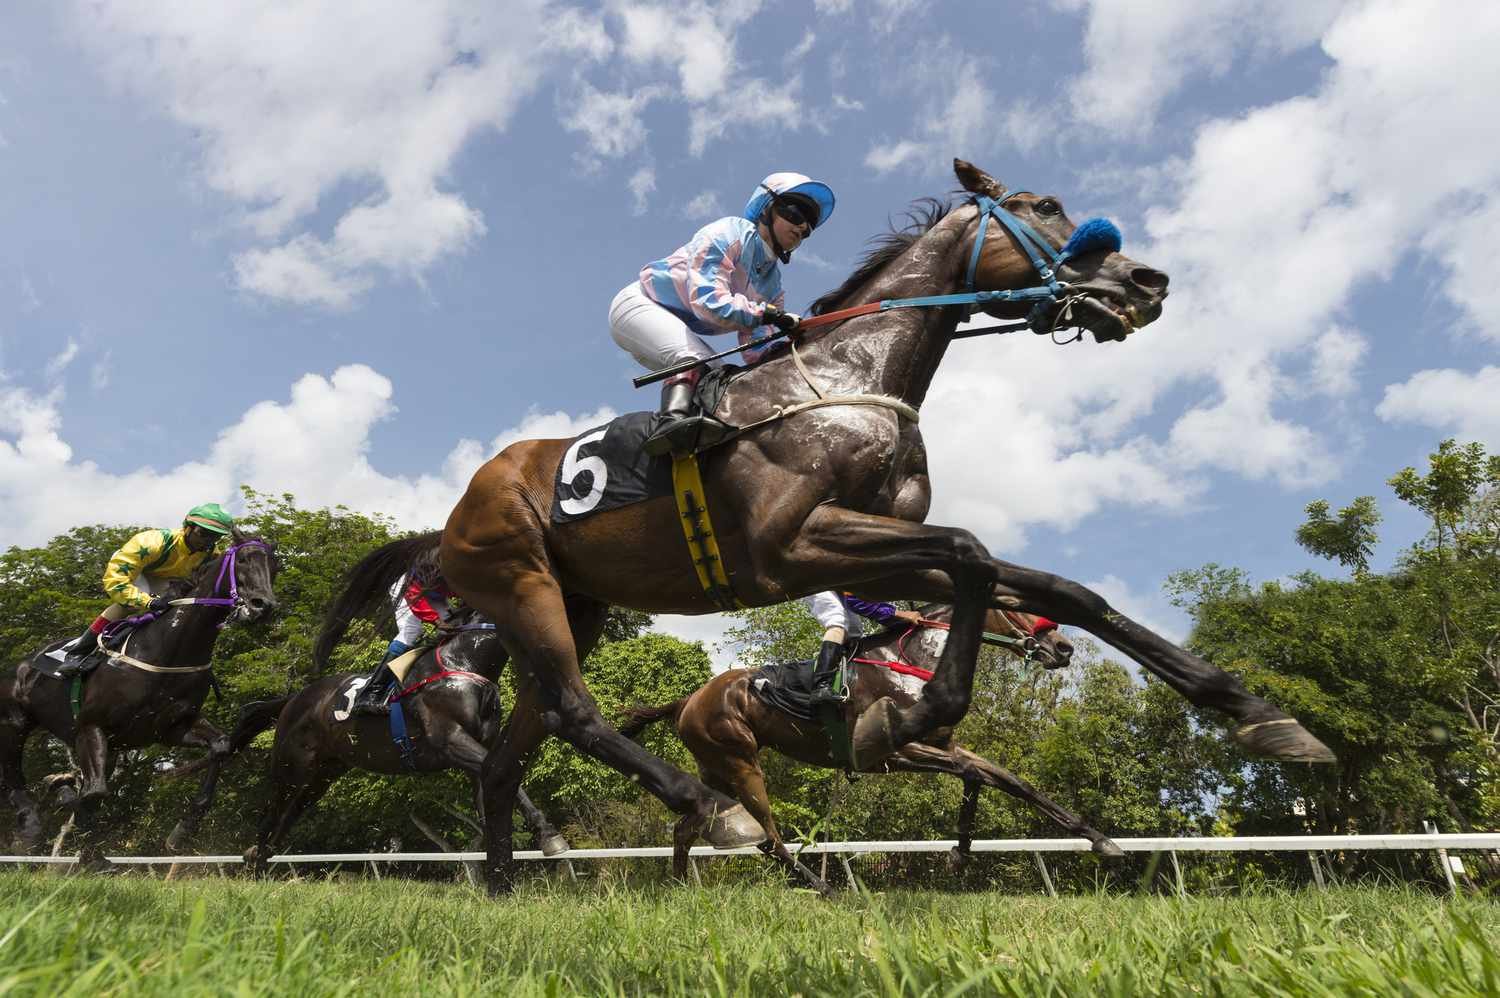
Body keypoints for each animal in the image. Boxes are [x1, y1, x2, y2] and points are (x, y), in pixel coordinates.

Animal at [0, 532, 278, 863]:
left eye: (275, 565)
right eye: (245, 559)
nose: (263, 606)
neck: (167, 651)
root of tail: (22, 665)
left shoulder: (170, 729)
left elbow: (221, 747)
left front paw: (182, 831)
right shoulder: (91, 725)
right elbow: (92, 793)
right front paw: (64, 796)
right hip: (15, 723)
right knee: (13, 775)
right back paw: (29, 824)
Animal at [233, 535, 567, 875]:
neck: (464, 662)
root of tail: (295, 699)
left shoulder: (478, 746)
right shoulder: (450, 738)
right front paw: (548, 836)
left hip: (324, 773)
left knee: (289, 815)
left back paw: (262, 861)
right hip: (291, 764)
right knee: (270, 813)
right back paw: (255, 864)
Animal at [620, 604, 1122, 894]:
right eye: (1011, 604)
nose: (1064, 647)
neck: (916, 660)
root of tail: (688, 699)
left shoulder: (944, 743)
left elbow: (1009, 782)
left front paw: (1099, 839)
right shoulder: (893, 754)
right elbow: (973, 775)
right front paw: (959, 851)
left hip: (715, 772)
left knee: (688, 828)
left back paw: (683, 891)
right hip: (741, 762)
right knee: (769, 833)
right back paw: (819, 886)